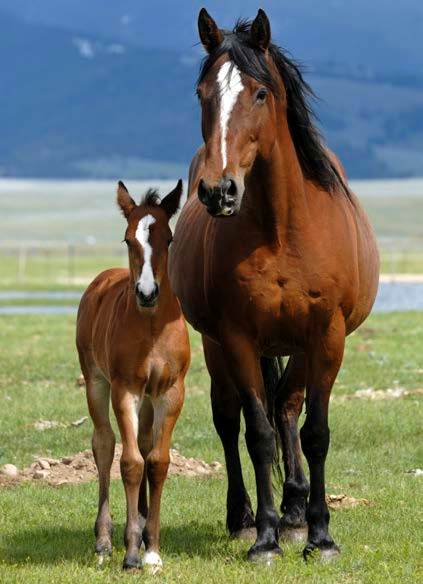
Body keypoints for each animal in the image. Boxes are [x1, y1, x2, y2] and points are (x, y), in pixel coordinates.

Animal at [77, 180, 190, 572]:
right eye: (128, 239)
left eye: (169, 238)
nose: (146, 292)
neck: (153, 327)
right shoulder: (124, 389)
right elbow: (129, 463)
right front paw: (130, 553)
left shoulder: (170, 392)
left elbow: (157, 461)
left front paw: (152, 548)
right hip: (96, 382)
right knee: (105, 443)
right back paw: (103, 540)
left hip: (148, 398)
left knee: (141, 442)